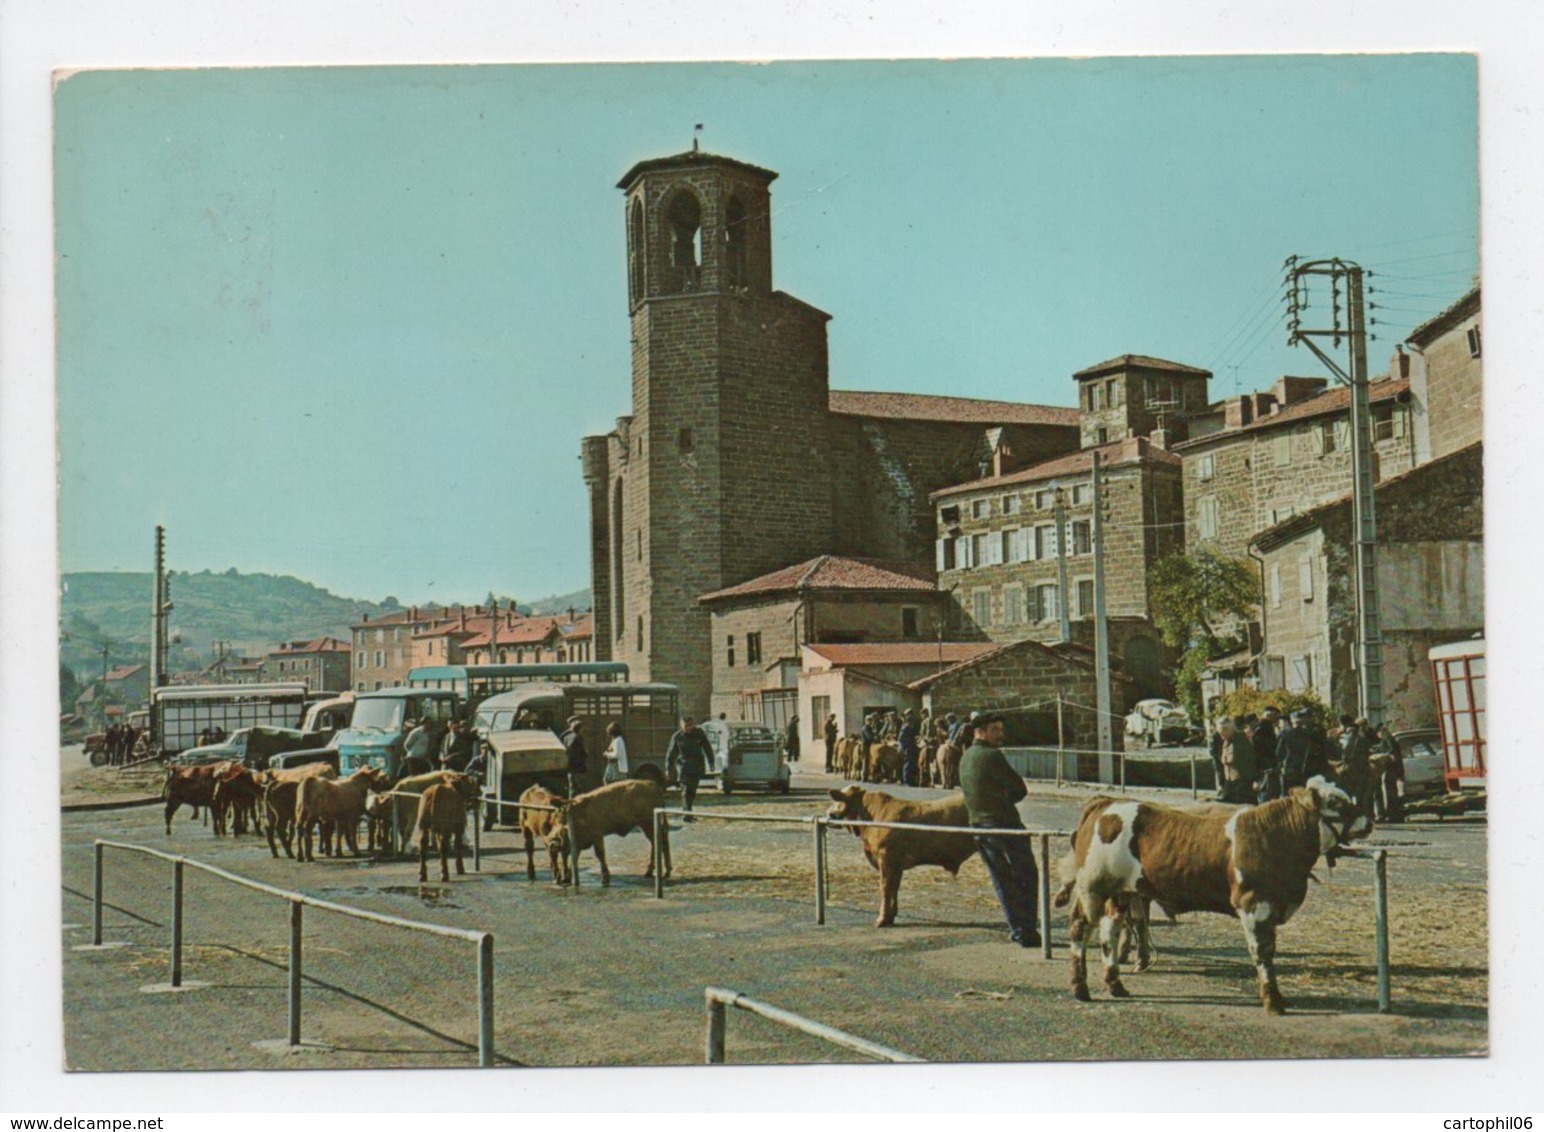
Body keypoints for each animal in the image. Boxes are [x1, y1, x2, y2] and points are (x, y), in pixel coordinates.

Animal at [821, 784, 975, 926]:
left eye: (836, 800)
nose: (828, 812)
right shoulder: (896, 864)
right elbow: (895, 886)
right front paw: (891, 916)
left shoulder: (885, 858)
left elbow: (885, 887)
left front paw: (882, 919)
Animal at [1056, 778, 1371, 1013]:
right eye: (1336, 802)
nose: (1369, 821)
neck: (1277, 835)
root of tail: (1106, 803)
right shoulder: (1253, 904)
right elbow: (1262, 952)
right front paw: (1272, 1000)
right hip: (1094, 885)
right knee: (1080, 927)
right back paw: (1080, 987)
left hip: (1121, 891)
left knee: (1109, 930)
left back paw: (1115, 984)